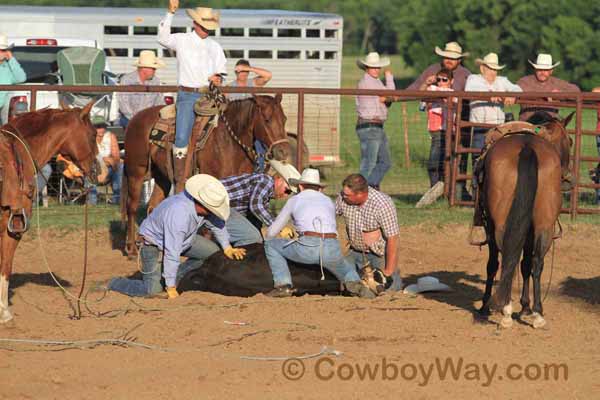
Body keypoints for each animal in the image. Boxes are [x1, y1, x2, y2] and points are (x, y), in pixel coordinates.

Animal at [120, 94, 292, 258]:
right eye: (267, 120)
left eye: (284, 119)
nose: (283, 151)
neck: (229, 142)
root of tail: (136, 118)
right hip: (136, 172)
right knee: (131, 207)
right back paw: (131, 248)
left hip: (162, 177)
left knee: (153, 206)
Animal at [478, 110, 572, 328]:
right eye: (570, 141)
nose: (566, 176)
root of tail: (527, 148)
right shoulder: (530, 230)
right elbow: (527, 264)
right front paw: (527, 307)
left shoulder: (491, 226)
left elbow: (493, 264)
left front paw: (486, 305)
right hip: (545, 225)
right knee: (537, 262)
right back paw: (537, 313)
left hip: (500, 225)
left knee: (507, 258)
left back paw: (506, 311)